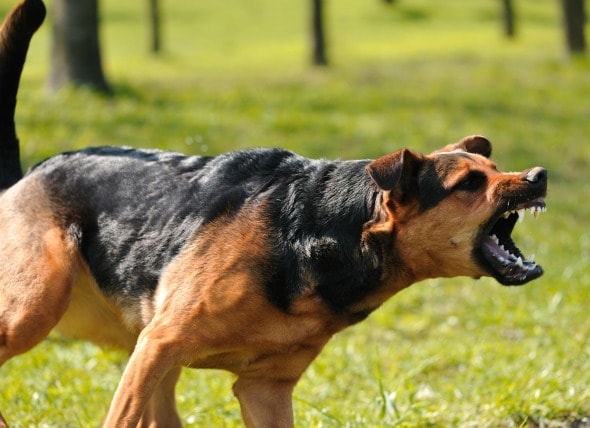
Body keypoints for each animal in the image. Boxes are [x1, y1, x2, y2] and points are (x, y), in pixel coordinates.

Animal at [0, 0, 552, 428]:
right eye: (470, 184)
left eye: (495, 168)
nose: (539, 175)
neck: (323, 234)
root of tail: (26, 175)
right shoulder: (160, 345)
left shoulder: (262, 387)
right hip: (37, 309)